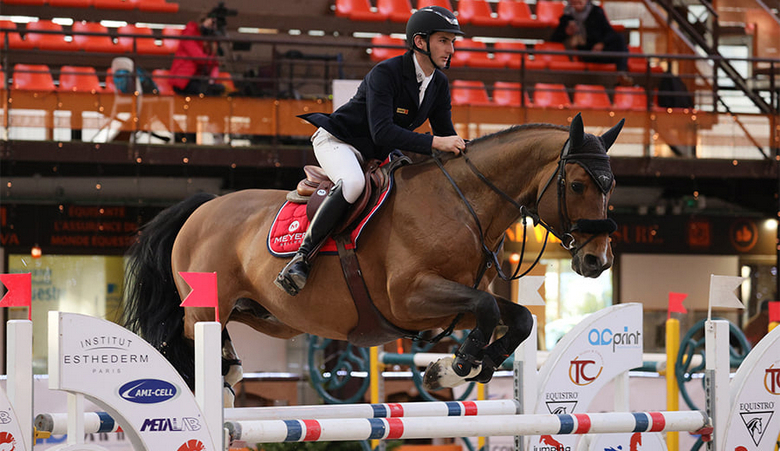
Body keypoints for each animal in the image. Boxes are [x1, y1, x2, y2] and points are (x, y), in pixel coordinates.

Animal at [123, 112, 620, 402]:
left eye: (610, 185)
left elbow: (515, 316)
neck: (463, 203)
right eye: (578, 185)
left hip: (268, 316)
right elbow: (488, 308)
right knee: (185, 338)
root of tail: (202, 207)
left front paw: (454, 369)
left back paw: (232, 370)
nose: (597, 261)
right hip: (204, 307)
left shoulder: (441, 307)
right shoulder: (410, 298)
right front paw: (460, 364)